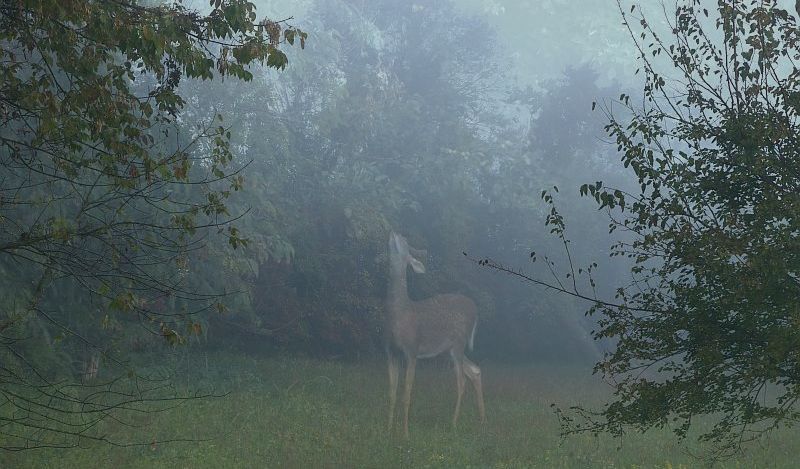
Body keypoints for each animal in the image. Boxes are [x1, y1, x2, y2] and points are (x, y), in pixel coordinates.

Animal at [385, 231, 486, 438]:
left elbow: (406, 393)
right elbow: (392, 393)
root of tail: (475, 310)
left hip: (458, 343)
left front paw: (405, 433)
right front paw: (388, 430)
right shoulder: (391, 352)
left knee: (462, 381)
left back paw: (453, 424)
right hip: (449, 349)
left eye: (404, 241)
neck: (399, 314)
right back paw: (482, 422)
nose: (394, 232)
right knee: (475, 370)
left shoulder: (412, 350)